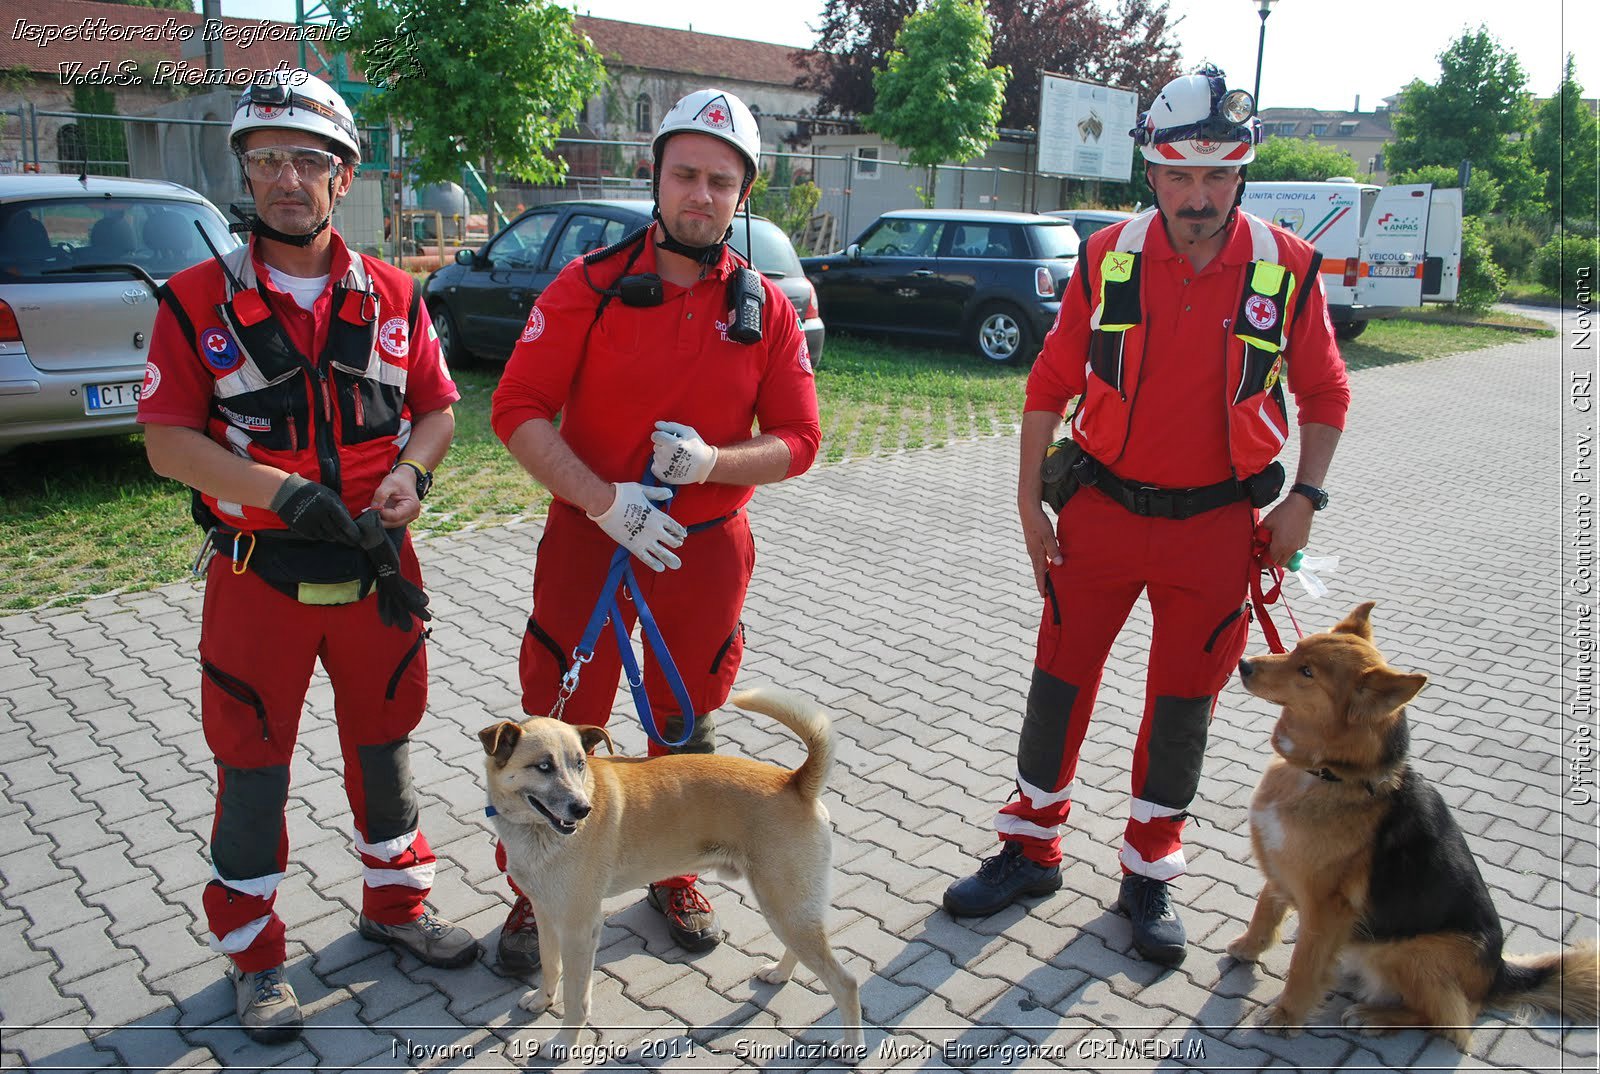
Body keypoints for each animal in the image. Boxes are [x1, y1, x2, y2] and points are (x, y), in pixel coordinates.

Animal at [476, 688, 864, 1056]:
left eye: (580, 764)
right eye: (543, 766)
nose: (583, 809)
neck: (535, 830)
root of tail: (795, 781)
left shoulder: (579, 926)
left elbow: (576, 998)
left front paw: (564, 1043)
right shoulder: (545, 912)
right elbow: (549, 964)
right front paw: (542, 1000)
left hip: (784, 905)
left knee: (845, 982)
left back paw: (850, 1047)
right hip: (786, 908)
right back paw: (780, 974)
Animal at [1228, 605, 1593, 1049]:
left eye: (1308, 672)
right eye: (1295, 649)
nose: (1244, 664)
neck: (1328, 773)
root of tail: (1497, 975)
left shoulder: (1324, 905)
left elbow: (1304, 965)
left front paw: (1287, 1014)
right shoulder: (1282, 867)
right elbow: (1266, 909)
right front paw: (1249, 946)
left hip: (1406, 953)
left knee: (1450, 1020)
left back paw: (1375, 1016)